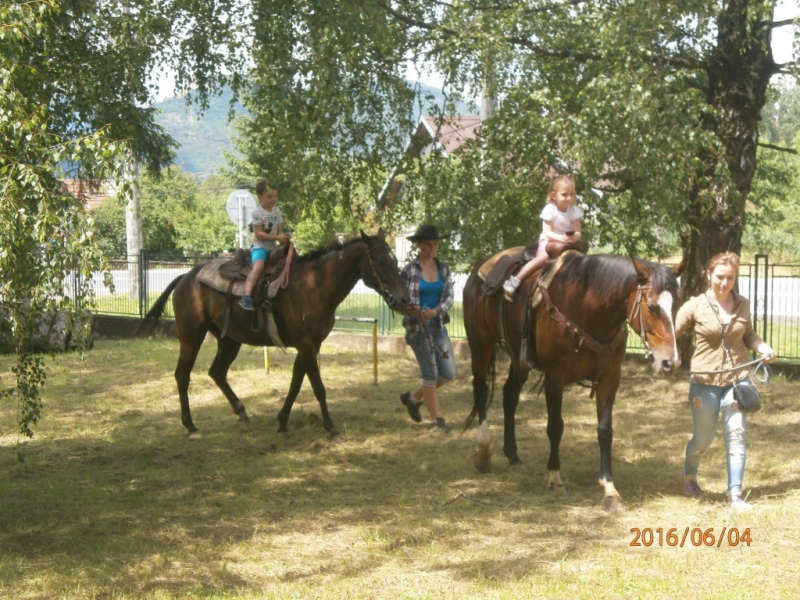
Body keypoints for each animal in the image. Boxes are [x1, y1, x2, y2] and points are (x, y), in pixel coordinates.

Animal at [135, 229, 410, 436]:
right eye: (382, 262)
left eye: (396, 261)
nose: (404, 299)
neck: (314, 286)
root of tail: (186, 276)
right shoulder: (306, 344)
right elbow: (317, 386)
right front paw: (330, 427)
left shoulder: (311, 345)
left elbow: (297, 383)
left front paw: (282, 422)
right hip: (191, 337)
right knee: (183, 375)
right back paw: (191, 426)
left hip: (230, 340)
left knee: (217, 372)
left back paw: (242, 413)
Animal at [466, 253, 684, 510]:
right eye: (651, 306)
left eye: (677, 304)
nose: (670, 363)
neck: (587, 307)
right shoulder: (554, 378)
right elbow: (555, 427)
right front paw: (555, 479)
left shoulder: (610, 378)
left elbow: (605, 430)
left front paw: (610, 490)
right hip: (481, 347)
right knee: (481, 391)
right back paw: (482, 451)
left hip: (519, 360)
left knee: (509, 396)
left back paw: (514, 457)